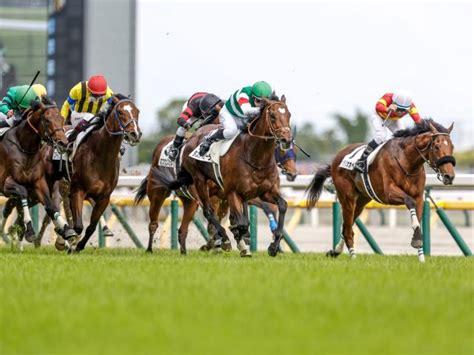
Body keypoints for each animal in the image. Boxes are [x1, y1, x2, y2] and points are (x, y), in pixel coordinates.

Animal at [0, 96, 75, 243]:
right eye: (47, 120)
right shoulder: (6, 183)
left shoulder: (38, 182)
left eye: (62, 119)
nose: (63, 143)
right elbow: (22, 192)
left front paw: (66, 230)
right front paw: (29, 230)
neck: (24, 147)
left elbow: (50, 205)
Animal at [65, 93, 142, 252]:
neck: (101, 155)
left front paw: (79, 246)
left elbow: (91, 227)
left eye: (137, 111)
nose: (135, 134)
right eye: (120, 112)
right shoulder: (77, 190)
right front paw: (72, 244)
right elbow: (78, 226)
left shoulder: (104, 197)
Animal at [134, 133, 296, 253]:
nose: (293, 173)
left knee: (183, 229)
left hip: (189, 201)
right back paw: (149, 249)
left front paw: (241, 236)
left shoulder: (231, 194)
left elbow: (242, 215)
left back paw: (185, 251)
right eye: (282, 150)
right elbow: (218, 218)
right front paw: (226, 239)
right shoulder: (218, 195)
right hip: (157, 194)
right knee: (153, 222)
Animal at [154, 98, 290, 258]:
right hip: (199, 180)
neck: (255, 157)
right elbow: (241, 223)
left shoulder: (265, 192)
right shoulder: (232, 193)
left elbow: (282, 205)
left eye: (289, 115)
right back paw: (224, 239)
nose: (286, 139)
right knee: (208, 212)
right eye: (273, 116)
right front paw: (235, 239)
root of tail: (193, 136)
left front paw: (273, 246)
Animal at [306, 119, 458, 262]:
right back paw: (353, 257)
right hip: (347, 198)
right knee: (348, 229)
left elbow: (418, 221)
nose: (449, 176)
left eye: (452, 146)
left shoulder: (419, 196)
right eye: (437, 146)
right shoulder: (389, 193)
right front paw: (417, 243)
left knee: (345, 227)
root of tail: (336, 158)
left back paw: (335, 251)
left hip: (362, 200)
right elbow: (409, 202)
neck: (407, 161)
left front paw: (421, 257)